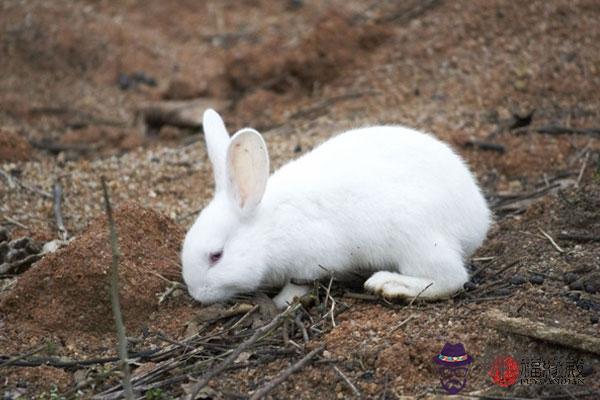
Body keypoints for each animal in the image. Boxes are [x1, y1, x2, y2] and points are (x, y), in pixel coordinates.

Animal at [180, 109, 490, 310]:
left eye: (216, 256)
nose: (196, 294)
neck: (268, 228)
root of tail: (478, 218)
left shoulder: (308, 261)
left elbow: (298, 284)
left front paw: (281, 302)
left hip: (417, 239)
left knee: (450, 278)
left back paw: (389, 285)